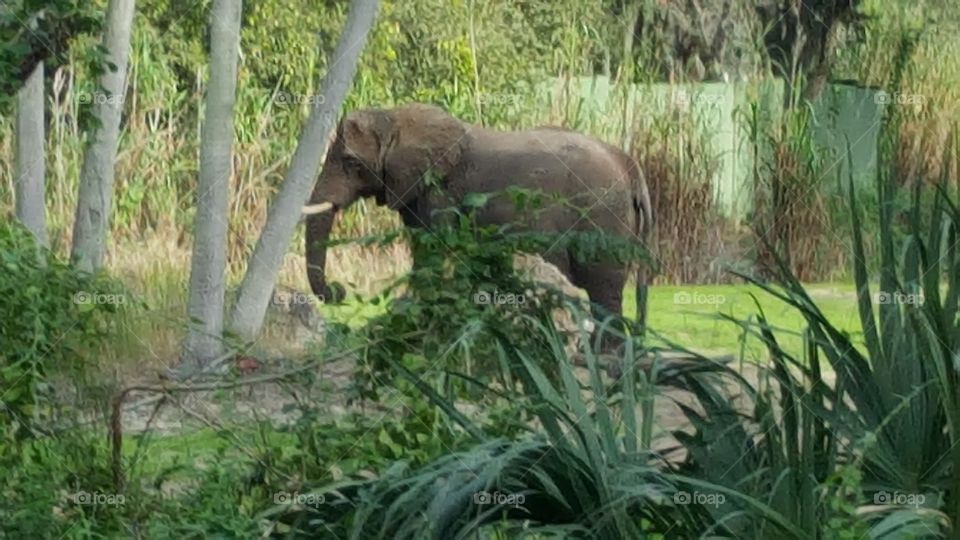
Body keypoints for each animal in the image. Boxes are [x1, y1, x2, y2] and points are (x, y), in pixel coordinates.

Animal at [304, 103, 656, 336]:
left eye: (351, 162)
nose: (338, 292)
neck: (395, 117)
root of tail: (630, 165)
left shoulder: (440, 190)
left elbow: (433, 251)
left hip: (601, 217)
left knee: (603, 288)